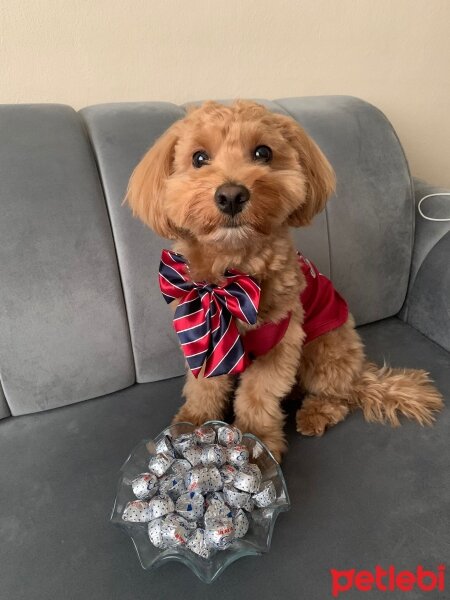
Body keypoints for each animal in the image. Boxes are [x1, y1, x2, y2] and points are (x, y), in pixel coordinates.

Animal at [125, 101, 442, 462]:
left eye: (263, 152)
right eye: (199, 157)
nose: (231, 195)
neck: (231, 278)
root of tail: (358, 372)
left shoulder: (281, 341)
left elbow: (258, 397)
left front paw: (257, 444)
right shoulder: (205, 335)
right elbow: (204, 385)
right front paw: (191, 423)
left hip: (325, 350)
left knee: (339, 397)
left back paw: (316, 413)